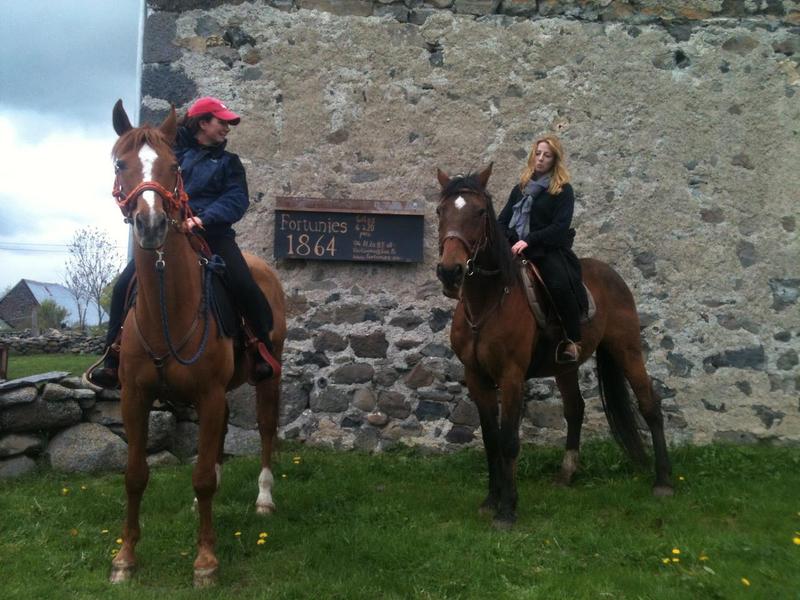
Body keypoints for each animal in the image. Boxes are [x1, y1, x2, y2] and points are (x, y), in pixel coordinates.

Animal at [107, 100, 286, 586]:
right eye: (120, 164)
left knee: (266, 430)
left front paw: (206, 561)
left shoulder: (207, 394)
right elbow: (134, 474)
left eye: (173, 167)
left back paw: (264, 499)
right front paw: (125, 558)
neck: (169, 309)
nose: (151, 225)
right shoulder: (134, 396)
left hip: (268, 377)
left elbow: (202, 476)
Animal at [435, 164, 672, 530]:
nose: (450, 272)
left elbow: (509, 441)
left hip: (627, 350)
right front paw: (491, 500)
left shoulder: (511, 377)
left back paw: (663, 481)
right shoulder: (476, 377)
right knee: (575, 409)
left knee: (649, 404)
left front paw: (507, 509)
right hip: (566, 366)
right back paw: (567, 474)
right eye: (440, 211)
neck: (488, 301)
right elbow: (490, 440)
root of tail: (612, 275)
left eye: (478, 212)